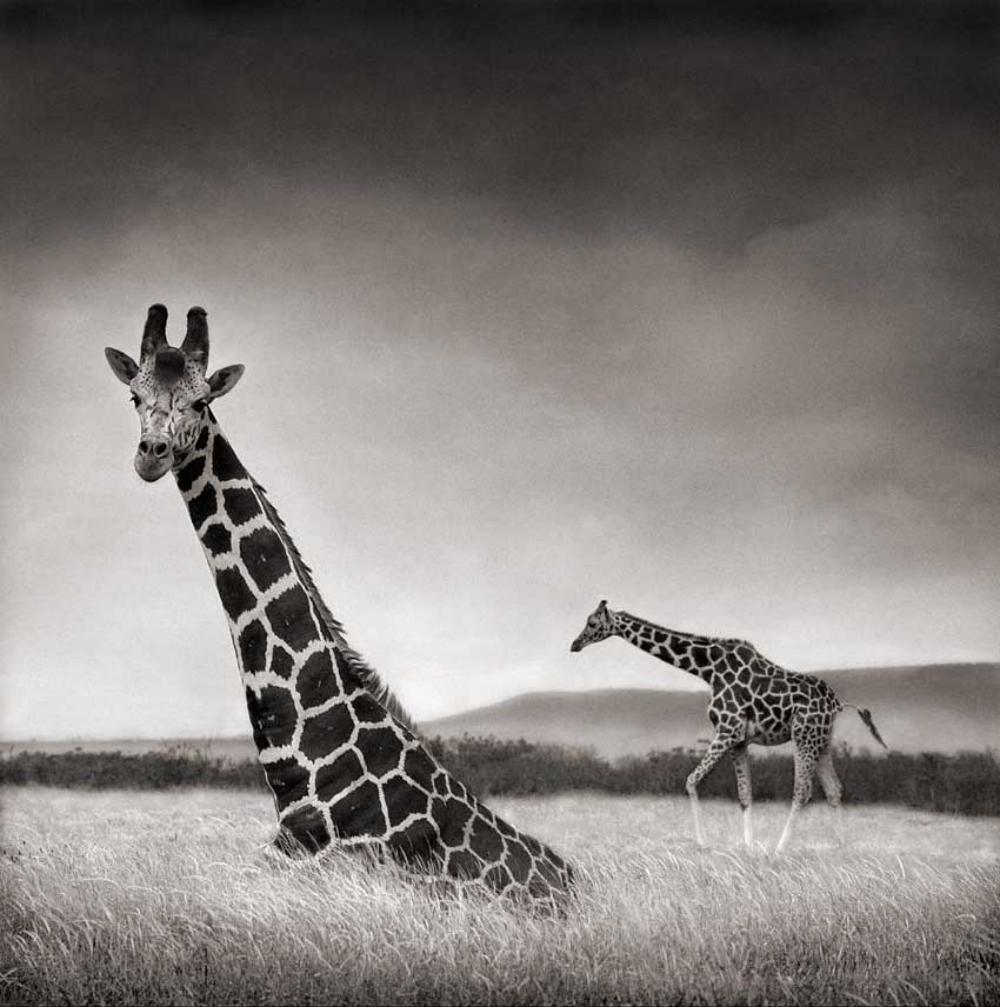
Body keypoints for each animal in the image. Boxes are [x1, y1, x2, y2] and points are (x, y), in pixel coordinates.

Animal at [570, 601, 887, 854]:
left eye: (592, 623)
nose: (575, 644)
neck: (707, 669)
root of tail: (837, 703)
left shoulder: (727, 729)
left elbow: (691, 781)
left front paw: (703, 843)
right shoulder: (739, 739)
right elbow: (745, 795)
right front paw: (747, 847)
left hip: (803, 735)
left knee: (802, 791)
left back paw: (780, 848)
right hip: (823, 739)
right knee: (834, 789)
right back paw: (840, 847)